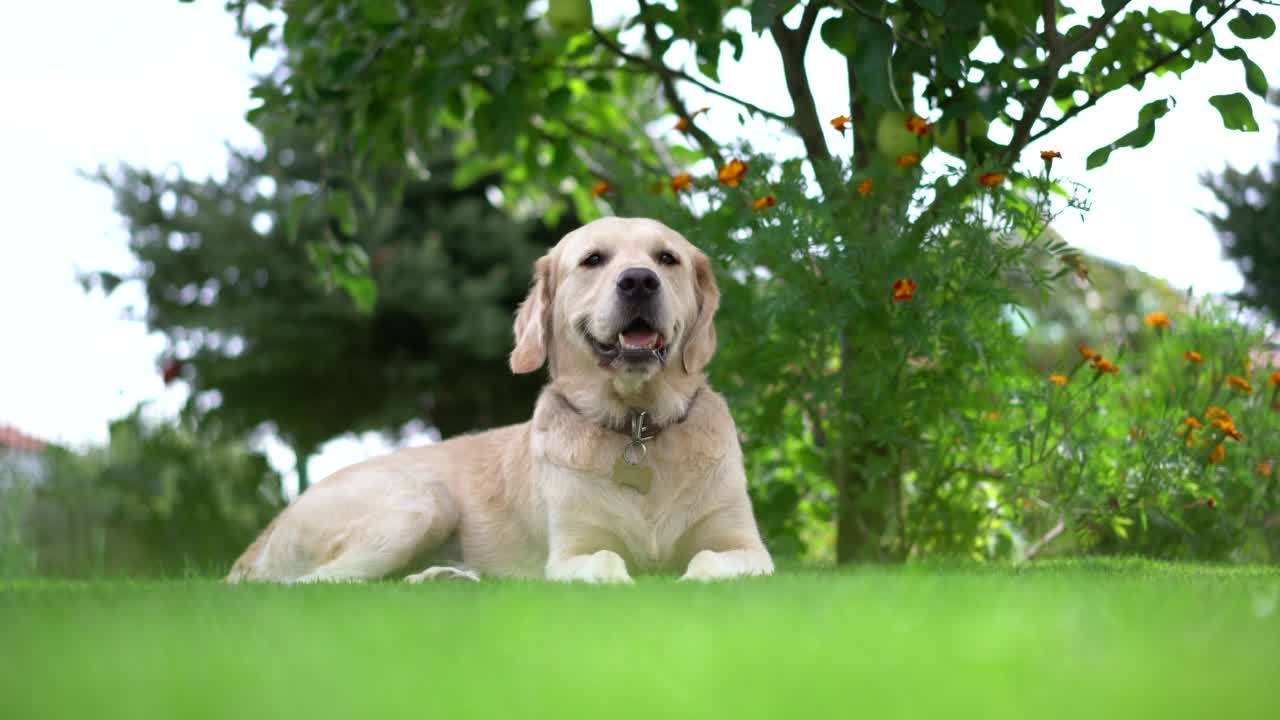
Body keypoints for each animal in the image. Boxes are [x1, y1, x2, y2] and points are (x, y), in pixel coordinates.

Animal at [226, 215, 773, 579]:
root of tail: (268, 530)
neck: (637, 425)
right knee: (319, 585)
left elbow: (708, 562)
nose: (639, 280)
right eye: (593, 260)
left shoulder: (745, 544)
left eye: (667, 258)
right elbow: (606, 563)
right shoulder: (572, 550)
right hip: (420, 503)